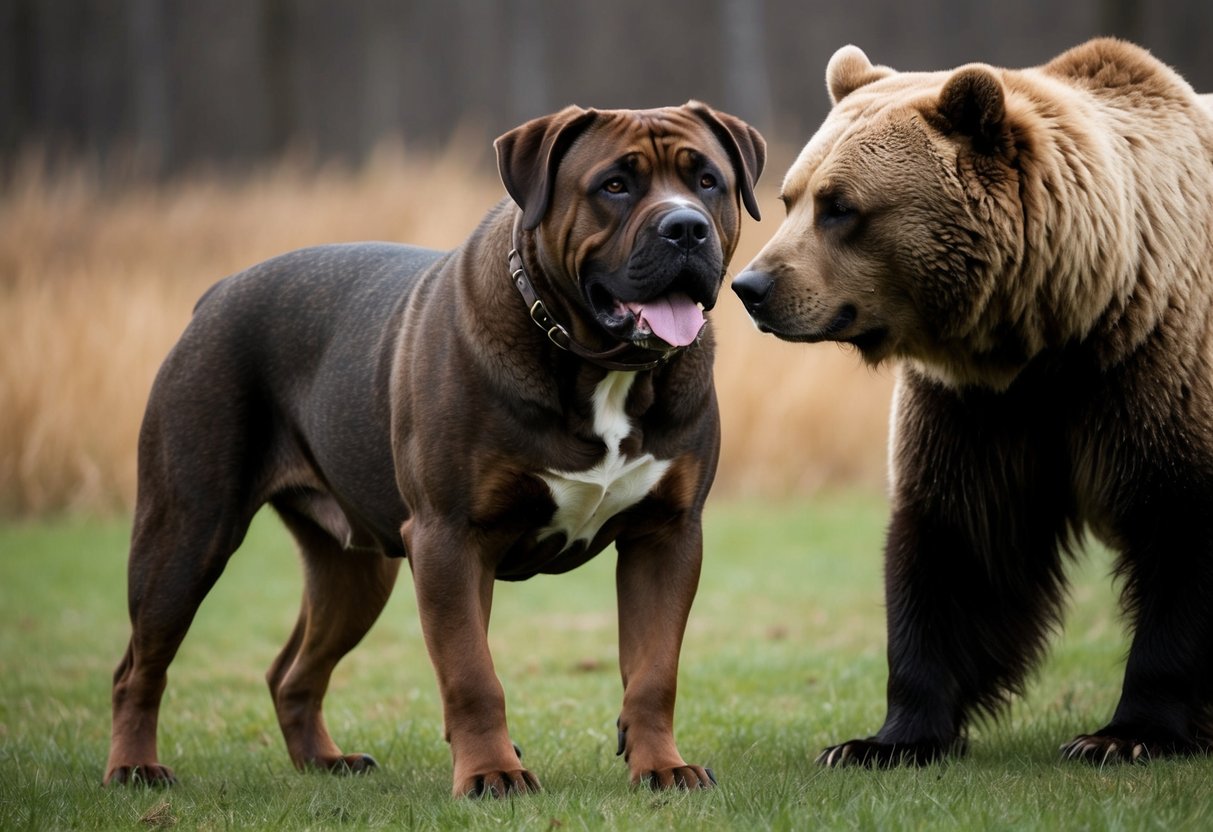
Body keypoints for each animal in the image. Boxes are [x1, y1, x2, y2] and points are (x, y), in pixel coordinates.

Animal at [732, 38, 1213, 765]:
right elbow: (958, 542)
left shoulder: (1155, 369)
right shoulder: (978, 408)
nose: (751, 286)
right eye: (790, 197)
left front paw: (1124, 735)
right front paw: (884, 739)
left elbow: (1180, 535)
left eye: (840, 205)